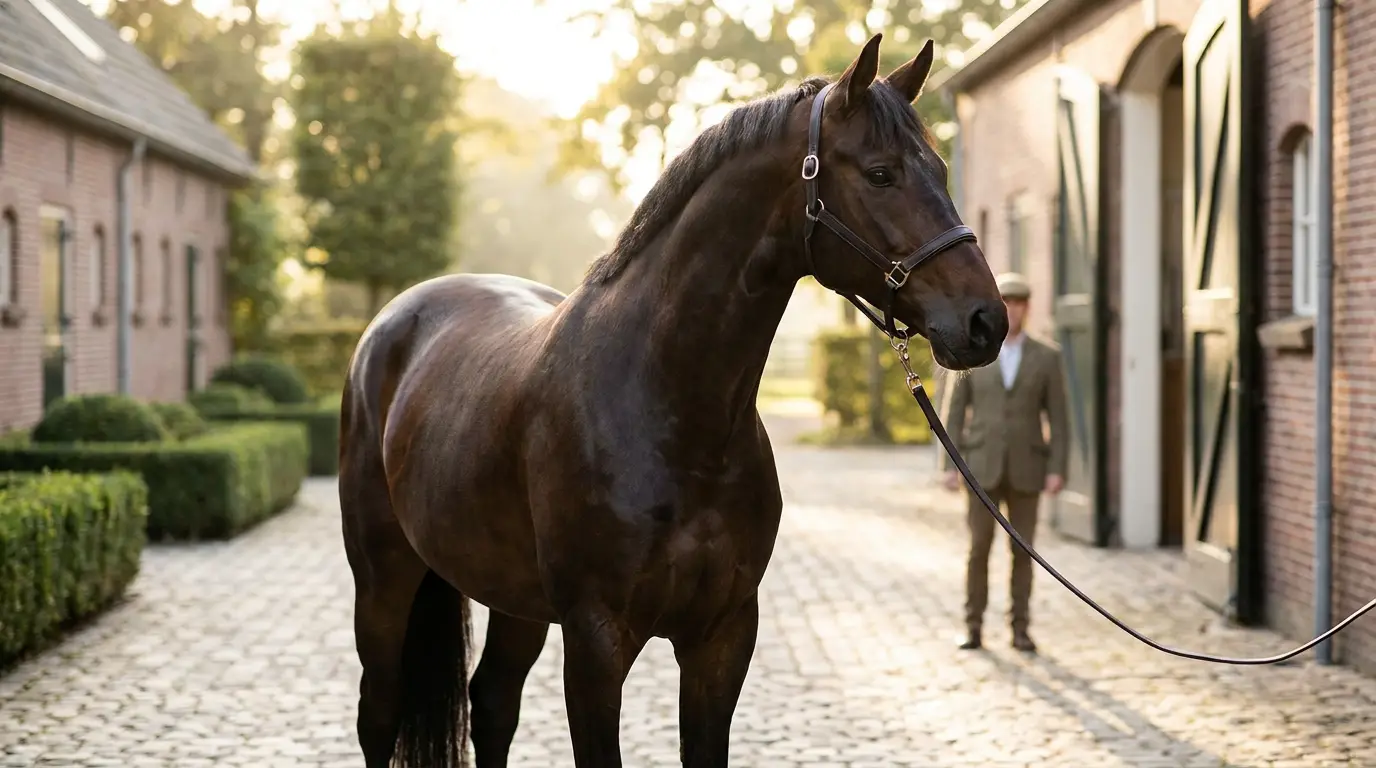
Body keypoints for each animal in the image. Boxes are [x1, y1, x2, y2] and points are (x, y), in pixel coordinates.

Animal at [339, 32, 1009, 768]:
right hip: (382, 579)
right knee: (379, 712)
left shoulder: (722, 635)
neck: (675, 417)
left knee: (492, 704)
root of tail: (395, 319)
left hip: (511, 596)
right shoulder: (596, 641)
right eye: (881, 173)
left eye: (940, 168)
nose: (985, 321)